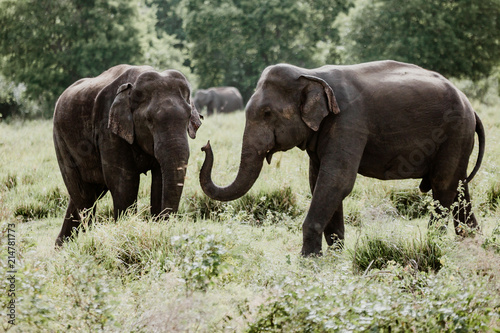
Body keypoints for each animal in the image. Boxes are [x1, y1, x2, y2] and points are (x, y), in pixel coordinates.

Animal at [53, 64, 202, 244]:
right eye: (149, 120)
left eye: (188, 116)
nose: (164, 223)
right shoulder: (108, 130)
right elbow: (124, 183)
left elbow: (159, 180)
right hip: (61, 141)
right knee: (84, 197)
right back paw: (87, 236)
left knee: (84, 196)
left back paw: (61, 245)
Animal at [199, 61, 484, 255]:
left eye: (267, 113)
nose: (205, 144)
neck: (310, 73)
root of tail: (471, 107)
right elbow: (319, 181)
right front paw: (336, 254)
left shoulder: (349, 121)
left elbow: (337, 180)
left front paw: (309, 260)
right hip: (458, 139)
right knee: (459, 189)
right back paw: (473, 241)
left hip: (454, 133)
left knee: (443, 186)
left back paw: (434, 242)